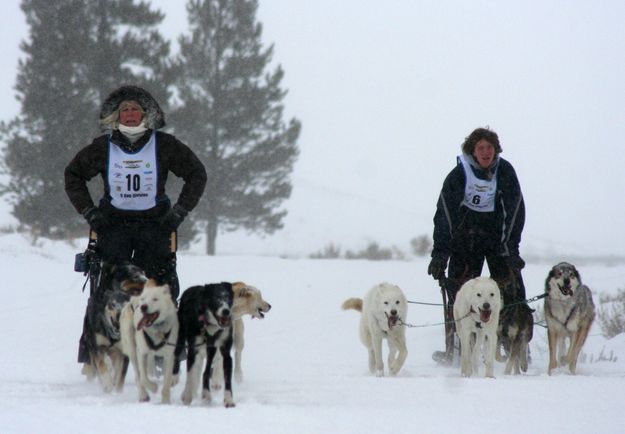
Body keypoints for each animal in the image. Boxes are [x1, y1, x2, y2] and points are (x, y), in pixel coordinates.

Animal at [82, 262, 147, 394]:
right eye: (133, 276)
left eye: (143, 273)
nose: (146, 280)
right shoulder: (97, 346)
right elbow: (102, 365)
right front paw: (107, 384)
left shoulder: (124, 350)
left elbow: (120, 375)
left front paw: (118, 392)